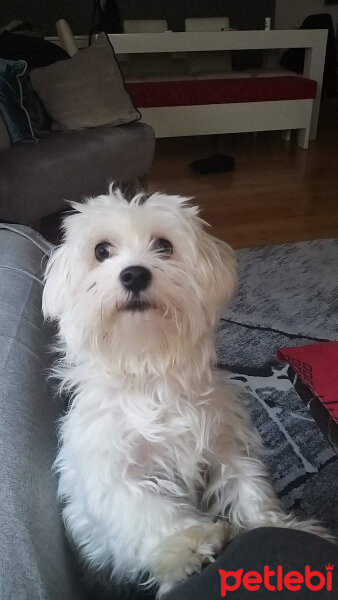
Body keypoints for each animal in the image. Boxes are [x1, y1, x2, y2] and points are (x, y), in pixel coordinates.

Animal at [43, 186, 332, 596]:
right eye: (101, 251)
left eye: (164, 245)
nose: (134, 274)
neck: (149, 368)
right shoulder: (111, 470)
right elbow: (144, 508)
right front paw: (187, 546)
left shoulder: (224, 446)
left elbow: (248, 488)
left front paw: (278, 526)